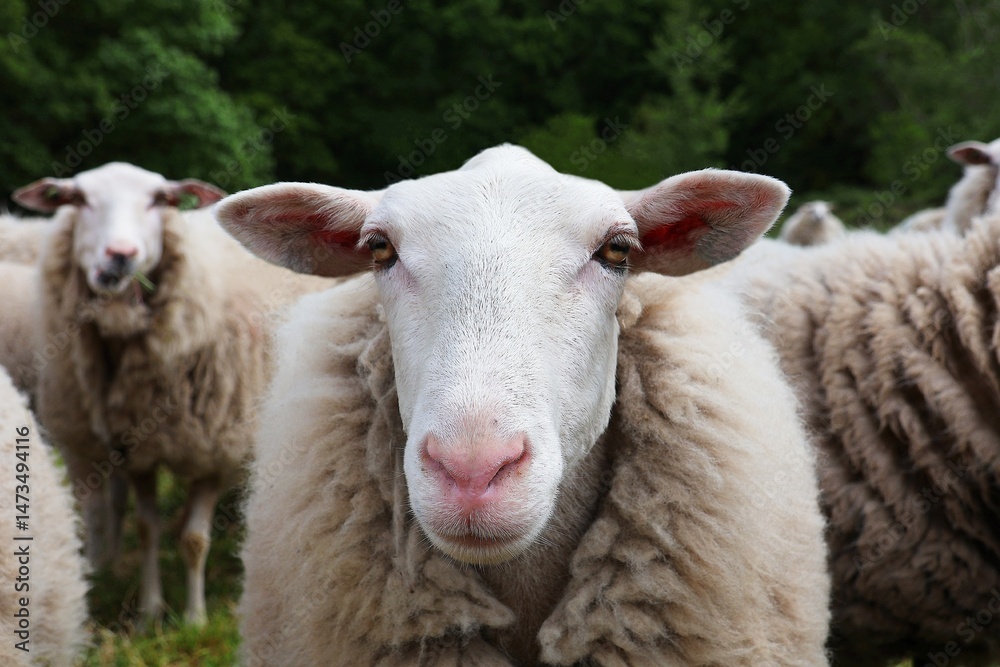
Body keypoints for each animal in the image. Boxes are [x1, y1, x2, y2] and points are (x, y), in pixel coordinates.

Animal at [12, 162, 331, 627]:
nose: (121, 254)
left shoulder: (216, 450)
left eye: (158, 200)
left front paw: (195, 618)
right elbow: (148, 530)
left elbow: (194, 539)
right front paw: (149, 613)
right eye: (79, 199)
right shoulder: (138, 449)